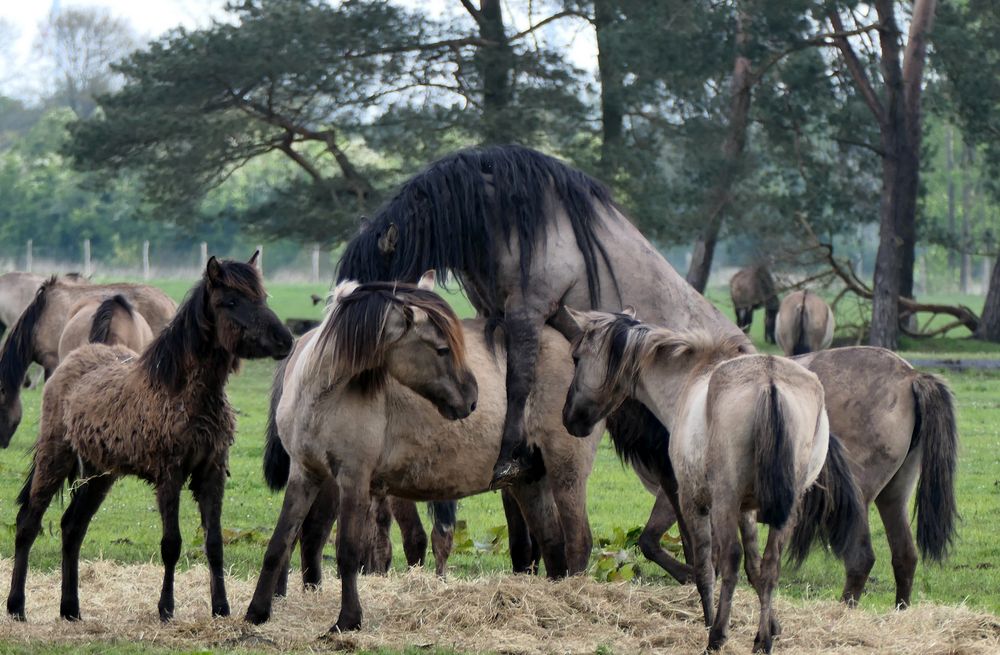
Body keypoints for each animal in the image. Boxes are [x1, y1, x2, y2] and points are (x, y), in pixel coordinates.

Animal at [322, 144, 960, 608]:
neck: (512, 216)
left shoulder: (528, 313)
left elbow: (518, 386)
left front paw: (509, 453)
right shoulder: (504, 318)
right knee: (888, 554)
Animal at [560, 308, 864, 655]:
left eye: (577, 358)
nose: (569, 417)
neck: (689, 381)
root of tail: (770, 381)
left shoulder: (694, 502)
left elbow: (705, 567)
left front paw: (711, 621)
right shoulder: (748, 511)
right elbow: (756, 569)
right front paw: (771, 627)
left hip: (724, 503)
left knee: (729, 560)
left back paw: (716, 636)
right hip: (785, 510)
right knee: (771, 566)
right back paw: (762, 642)